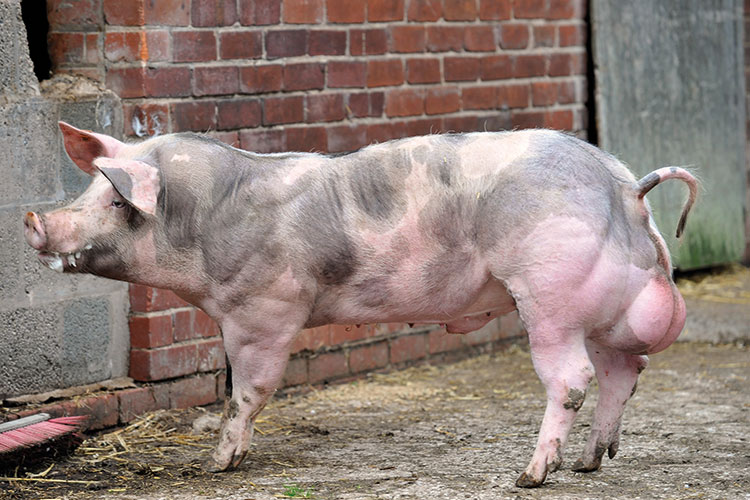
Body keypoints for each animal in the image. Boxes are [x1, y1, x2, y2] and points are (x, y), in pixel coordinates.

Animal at [24, 122, 697, 488]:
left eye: (117, 201)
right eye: (89, 188)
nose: (33, 221)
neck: (207, 221)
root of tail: (624, 186)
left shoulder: (264, 311)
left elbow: (248, 391)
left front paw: (217, 465)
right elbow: (238, 391)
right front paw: (229, 457)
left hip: (551, 295)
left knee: (574, 379)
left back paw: (529, 476)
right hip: (608, 303)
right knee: (625, 369)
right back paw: (589, 464)